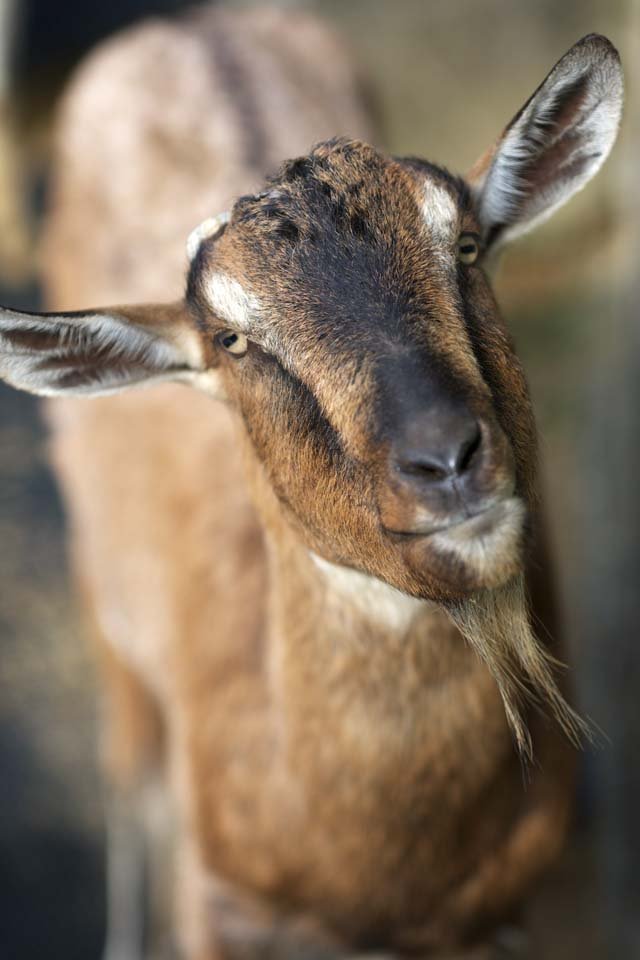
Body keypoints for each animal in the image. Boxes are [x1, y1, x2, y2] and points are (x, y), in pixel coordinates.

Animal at [0, 7, 623, 958]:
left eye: (466, 246)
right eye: (233, 340)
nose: (446, 460)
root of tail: (186, 24)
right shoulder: (220, 906)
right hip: (105, 605)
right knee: (129, 773)